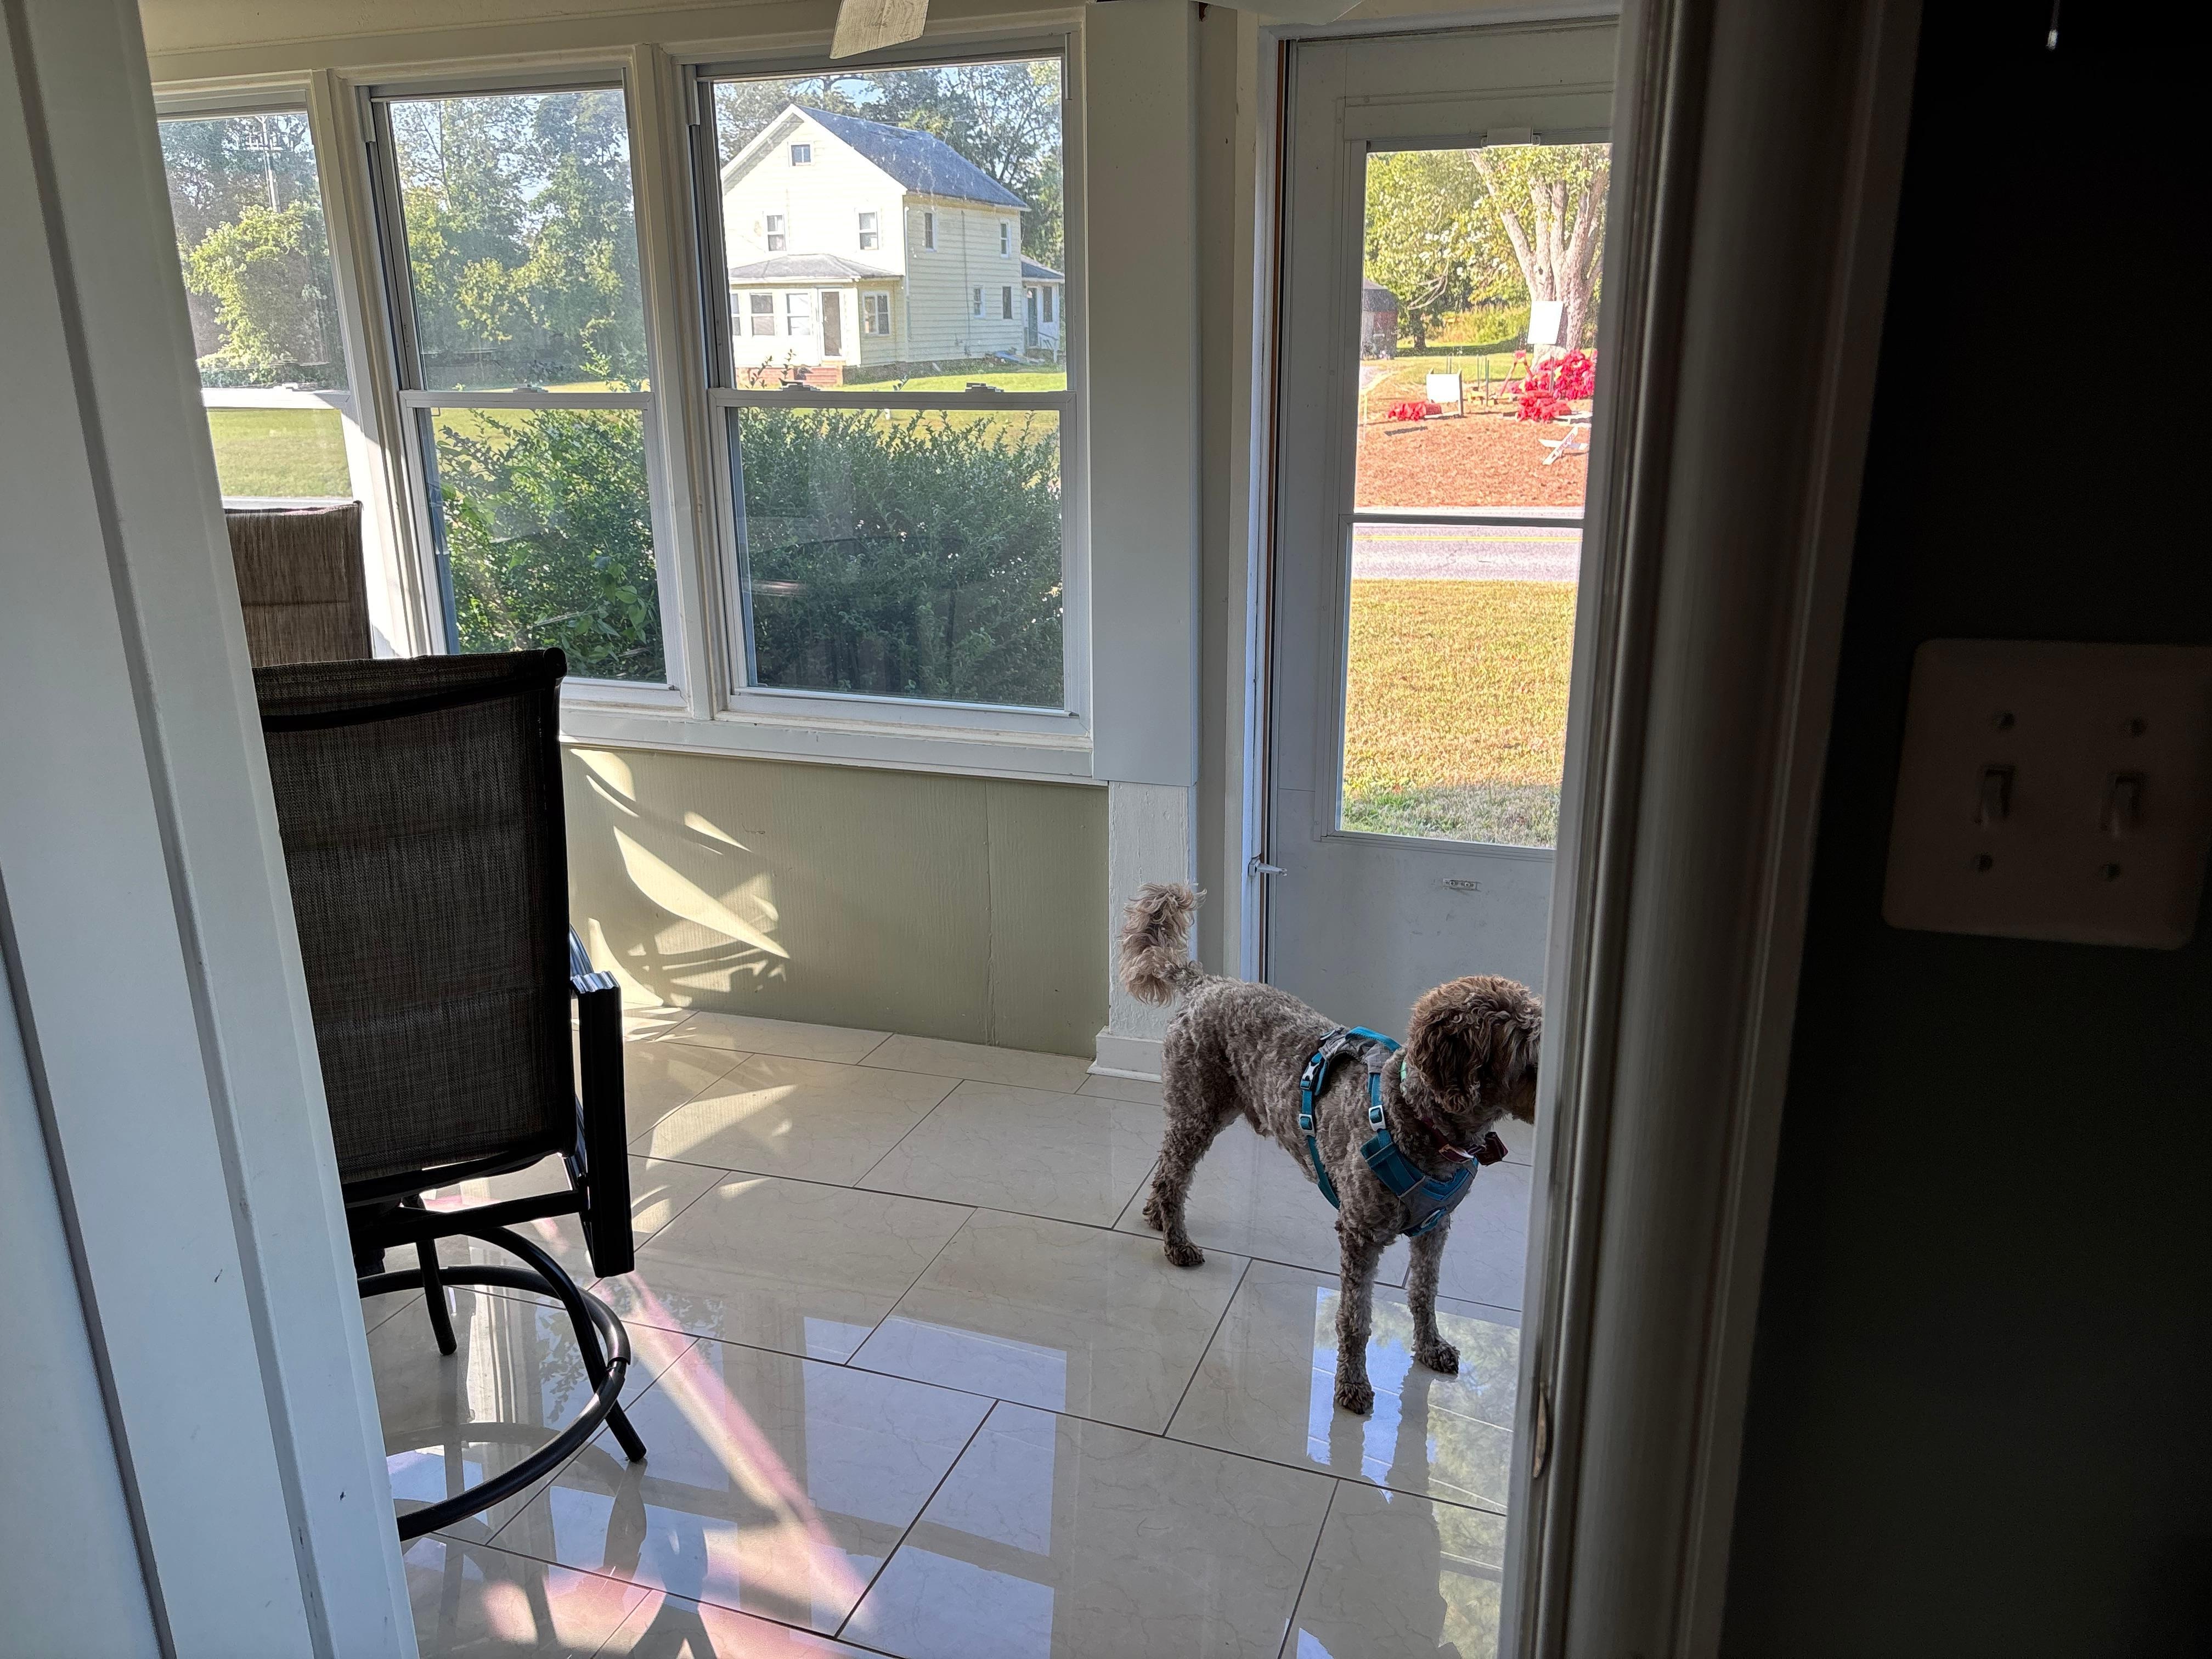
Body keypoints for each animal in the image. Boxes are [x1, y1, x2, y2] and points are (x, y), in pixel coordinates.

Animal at [1119, 882, 1540, 1415]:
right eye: (1529, 1056)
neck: (1417, 1118)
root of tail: (1206, 982)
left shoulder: (1434, 1229)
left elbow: (1424, 1293)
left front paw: (1429, 1346)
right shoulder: (1360, 1235)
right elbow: (1355, 1319)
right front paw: (1353, 1384)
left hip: (1197, 1111)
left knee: (1167, 1167)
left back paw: (1156, 1215)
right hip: (1198, 1111)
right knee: (1176, 1175)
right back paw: (1176, 1241)